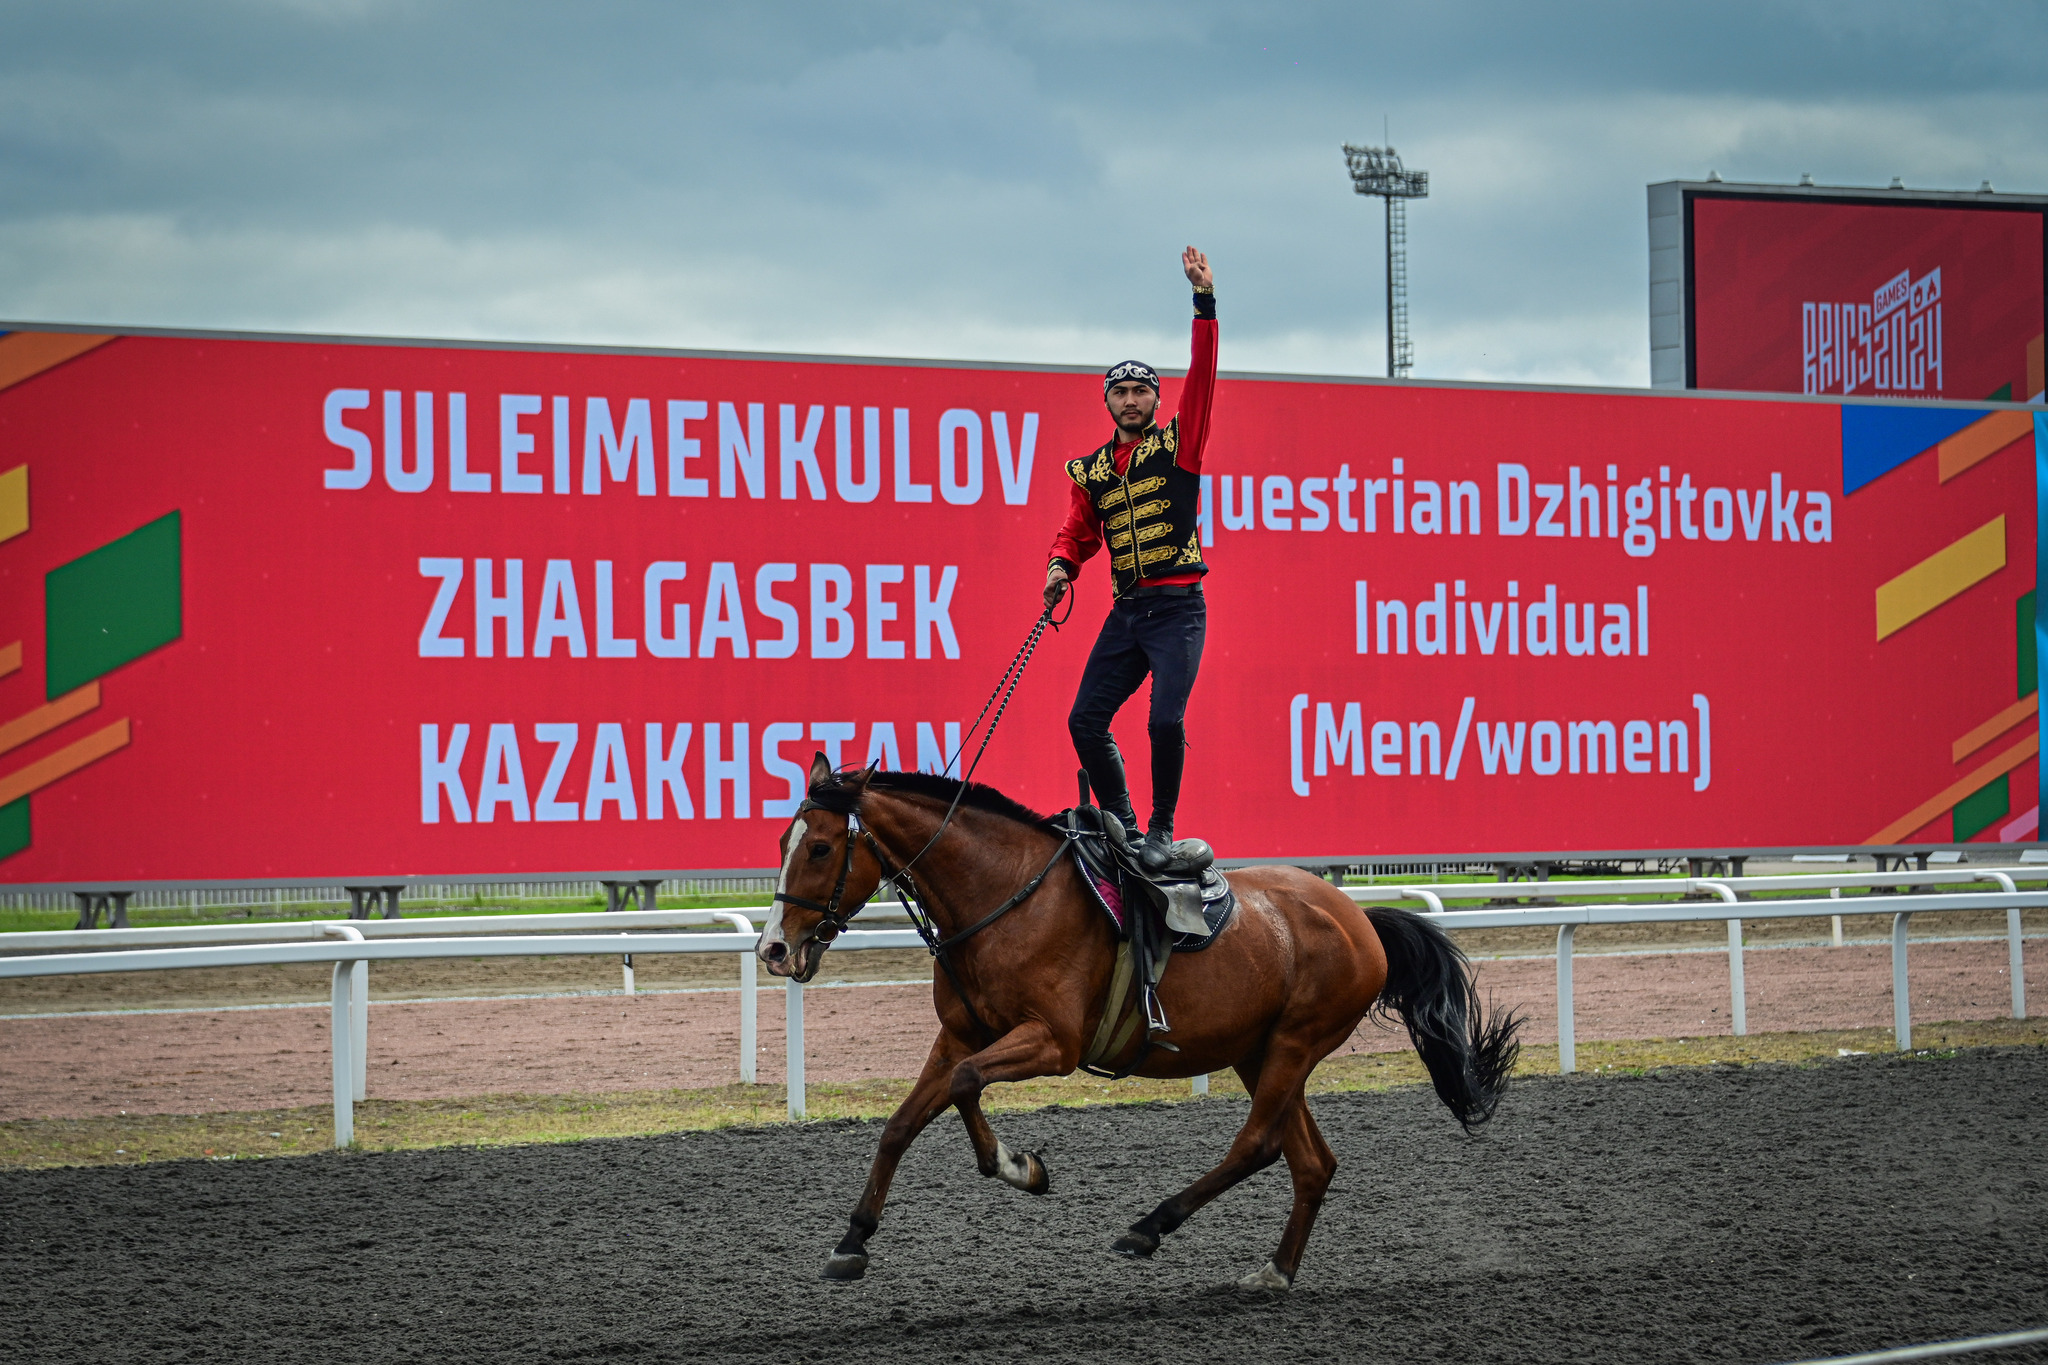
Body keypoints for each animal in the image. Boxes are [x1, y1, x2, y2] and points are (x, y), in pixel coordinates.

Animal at [757, 753, 1523, 1301]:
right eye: (783, 839)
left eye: (820, 848)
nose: (773, 948)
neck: (1004, 894)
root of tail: (1361, 916)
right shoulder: (959, 1033)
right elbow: (902, 1122)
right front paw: (852, 1240)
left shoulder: (1054, 1042)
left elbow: (968, 1085)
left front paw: (1019, 1167)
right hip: (1259, 1050)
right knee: (1310, 1160)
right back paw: (1275, 1271)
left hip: (1296, 1041)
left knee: (1257, 1145)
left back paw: (1148, 1228)